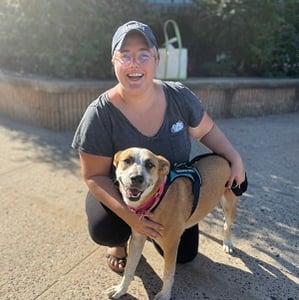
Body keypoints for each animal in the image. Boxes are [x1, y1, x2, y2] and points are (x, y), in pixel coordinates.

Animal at [108, 148, 239, 300]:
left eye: (150, 164)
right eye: (127, 160)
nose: (137, 178)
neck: (156, 199)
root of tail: (223, 158)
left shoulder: (171, 244)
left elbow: (168, 274)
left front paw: (165, 295)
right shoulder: (137, 238)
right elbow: (129, 268)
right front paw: (121, 289)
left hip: (229, 204)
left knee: (227, 224)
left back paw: (227, 242)